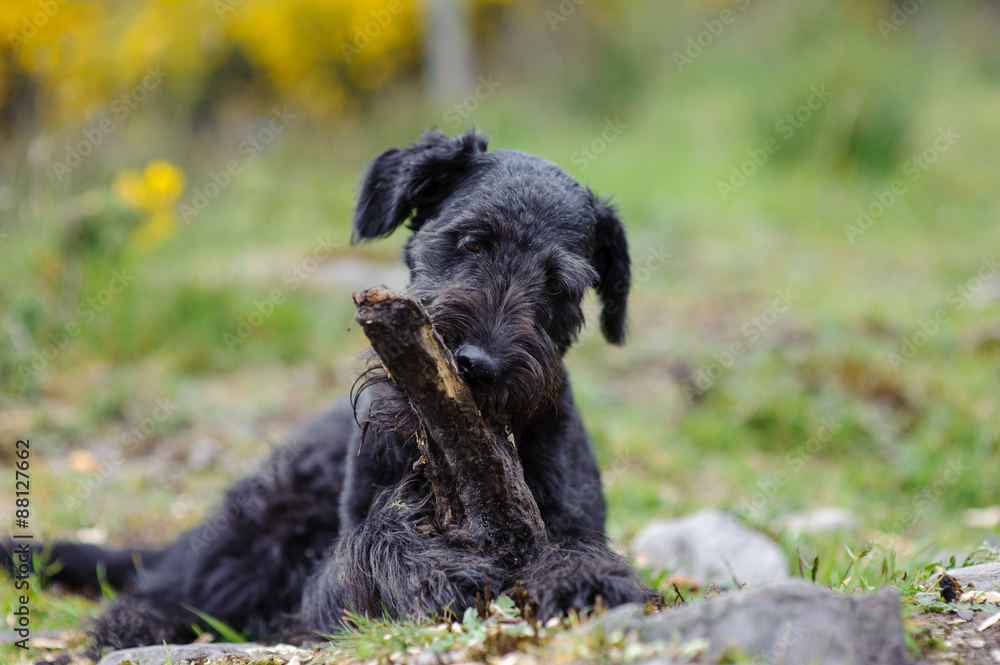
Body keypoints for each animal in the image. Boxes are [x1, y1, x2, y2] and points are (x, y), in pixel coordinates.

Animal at [5, 128, 656, 648]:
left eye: (559, 285)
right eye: (472, 241)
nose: (477, 364)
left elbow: (574, 546)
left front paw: (585, 579)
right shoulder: (323, 593)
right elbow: (370, 543)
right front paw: (433, 567)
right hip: (260, 526)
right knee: (169, 590)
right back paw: (134, 626)